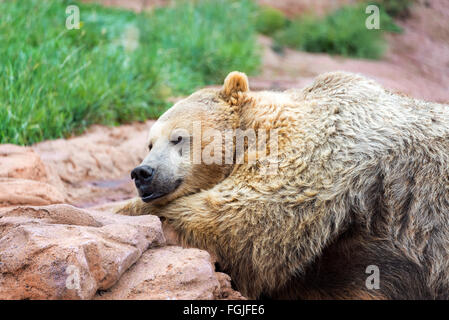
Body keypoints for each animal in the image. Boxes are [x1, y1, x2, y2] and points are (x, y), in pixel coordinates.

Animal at [116, 71, 448, 298]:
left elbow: (245, 220)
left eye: (178, 138)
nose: (142, 173)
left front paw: (124, 211)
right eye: (149, 143)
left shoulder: (318, 151)